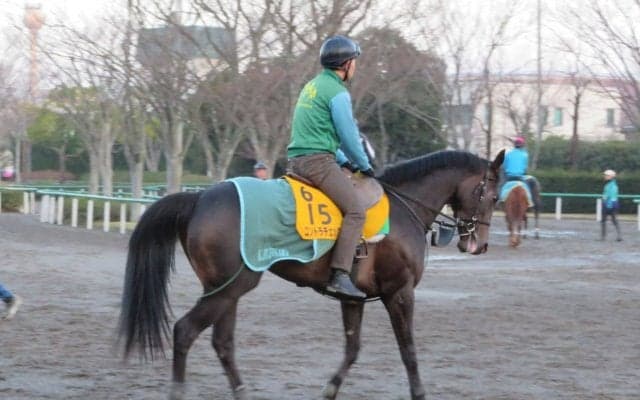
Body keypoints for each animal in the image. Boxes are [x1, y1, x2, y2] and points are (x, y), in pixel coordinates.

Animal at [118, 149, 505, 400]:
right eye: (493, 194)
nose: (479, 244)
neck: (403, 207)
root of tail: (199, 199)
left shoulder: (354, 298)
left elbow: (352, 348)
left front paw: (331, 388)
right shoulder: (400, 292)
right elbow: (408, 349)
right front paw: (419, 392)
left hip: (226, 289)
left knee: (222, 343)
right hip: (229, 288)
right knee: (185, 332)